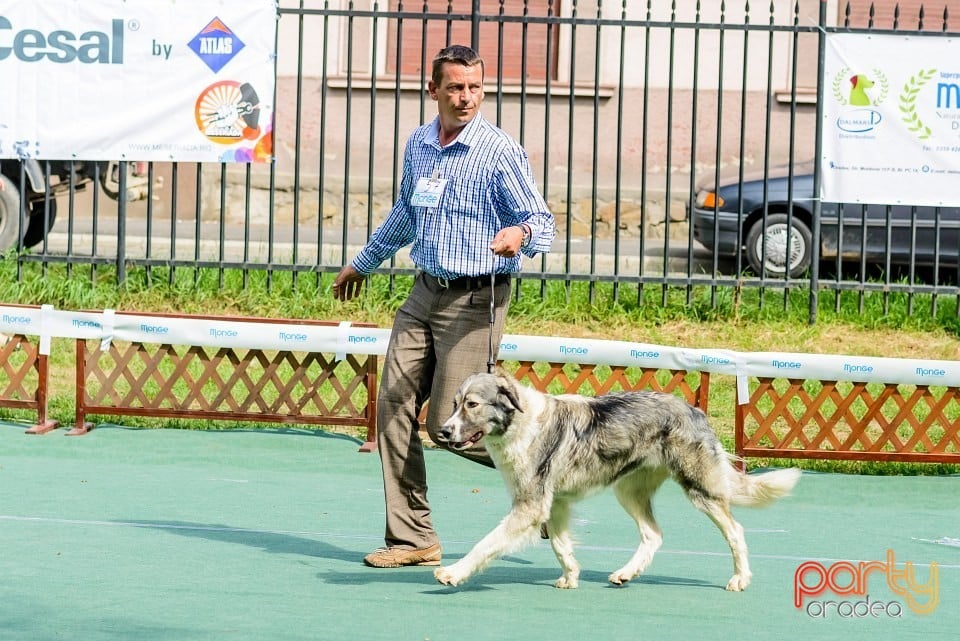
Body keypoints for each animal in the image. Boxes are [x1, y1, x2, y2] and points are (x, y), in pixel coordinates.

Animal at [432, 370, 800, 592]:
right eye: (454, 404)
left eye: (472, 405)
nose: (444, 431)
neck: (519, 425)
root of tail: (694, 410)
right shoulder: (556, 504)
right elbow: (561, 546)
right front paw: (571, 577)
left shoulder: (530, 507)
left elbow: (487, 543)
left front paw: (453, 573)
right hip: (628, 491)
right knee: (653, 534)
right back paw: (626, 573)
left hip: (700, 490)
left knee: (735, 531)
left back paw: (740, 578)